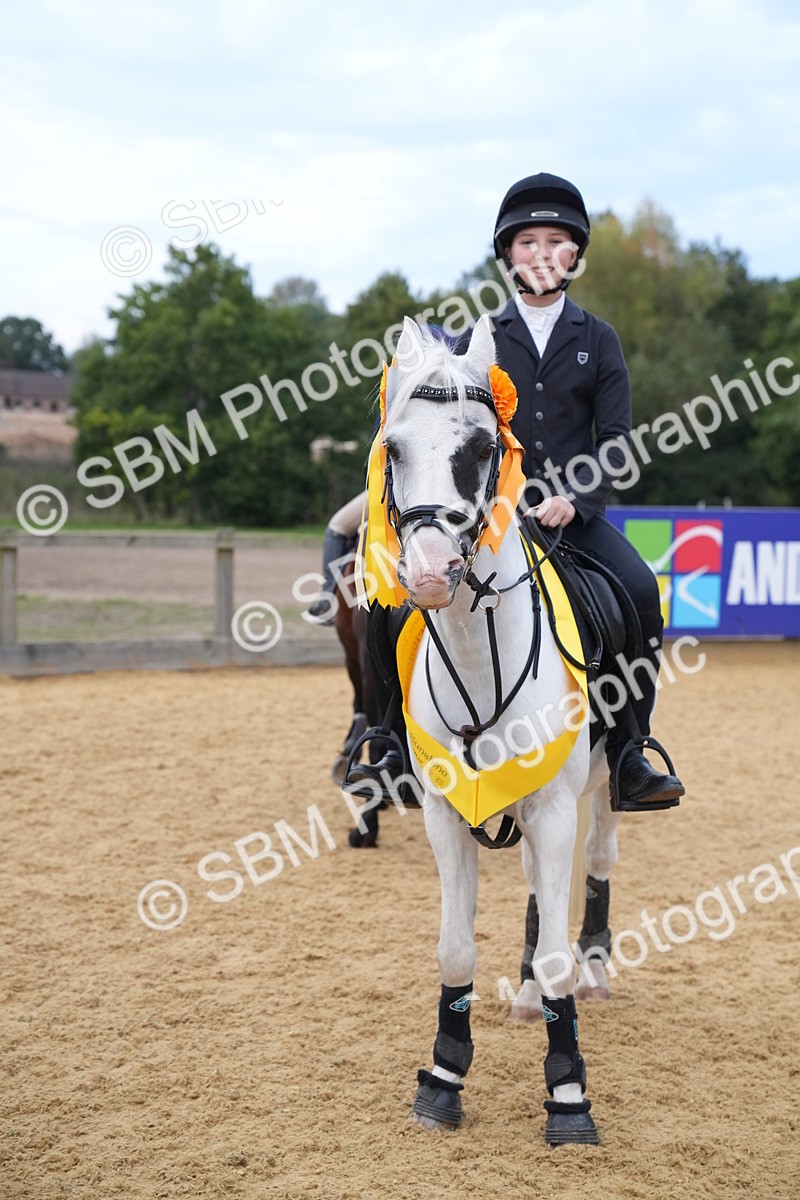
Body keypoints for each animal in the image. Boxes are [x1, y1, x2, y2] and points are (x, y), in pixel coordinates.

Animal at [368, 314, 623, 1145]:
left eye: (483, 449)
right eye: (394, 448)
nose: (427, 572)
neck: (483, 658)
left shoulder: (553, 805)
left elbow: (558, 953)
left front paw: (568, 1096)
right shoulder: (448, 813)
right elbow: (454, 949)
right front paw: (443, 1078)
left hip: (604, 784)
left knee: (597, 862)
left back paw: (595, 969)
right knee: (538, 892)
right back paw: (522, 993)